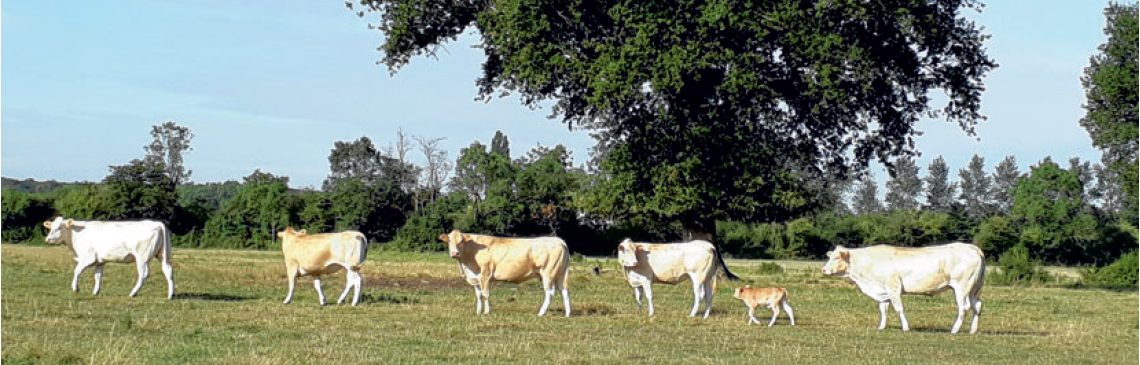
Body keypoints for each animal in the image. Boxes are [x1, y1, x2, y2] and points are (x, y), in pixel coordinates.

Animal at [42, 215, 174, 298]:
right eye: (50, 227)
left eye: (59, 228)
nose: (47, 239)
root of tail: (157, 223)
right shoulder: (100, 261)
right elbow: (98, 276)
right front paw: (95, 292)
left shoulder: (87, 258)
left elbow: (77, 271)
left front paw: (75, 288)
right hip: (162, 255)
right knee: (168, 270)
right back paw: (170, 295)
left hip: (142, 257)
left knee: (143, 274)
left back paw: (133, 293)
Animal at [820, 241, 989, 333]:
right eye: (830, 256)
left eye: (836, 257)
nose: (823, 270)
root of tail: (973, 248)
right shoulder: (883, 292)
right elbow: (883, 310)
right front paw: (881, 327)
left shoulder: (893, 287)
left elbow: (898, 308)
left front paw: (906, 327)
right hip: (974, 288)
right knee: (977, 306)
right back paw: (972, 330)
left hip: (962, 287)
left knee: (964, 307)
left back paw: (954, 330)